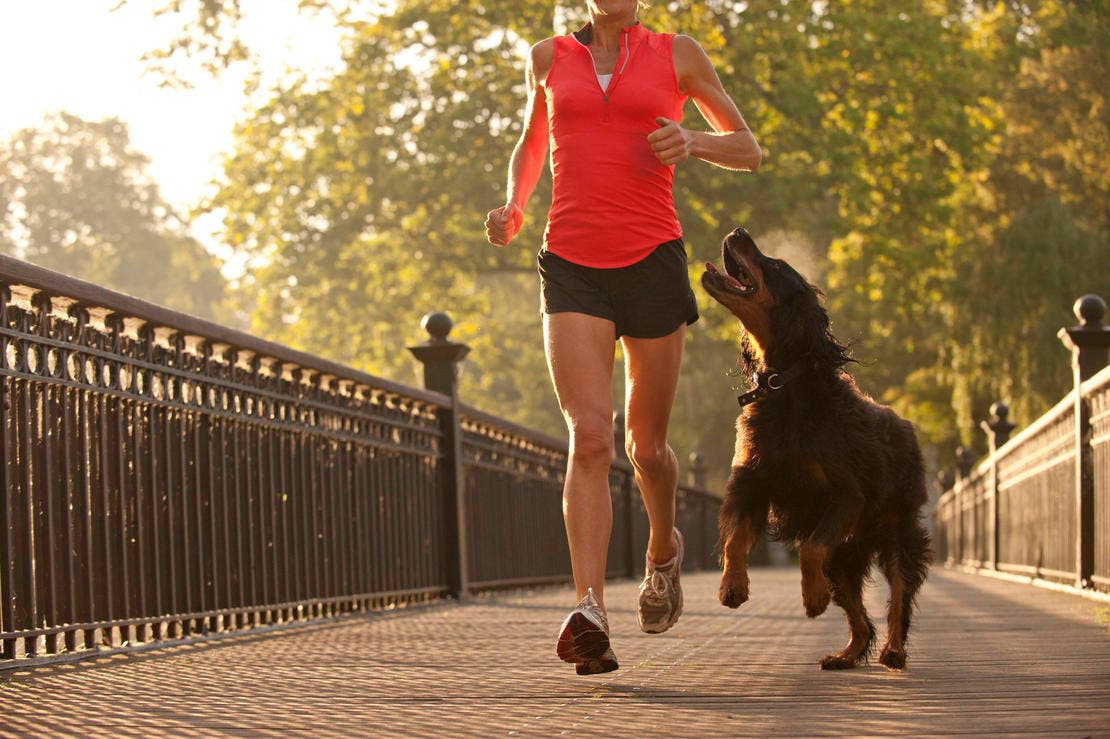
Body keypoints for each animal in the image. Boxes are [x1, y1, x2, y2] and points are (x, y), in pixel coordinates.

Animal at [701, 226, 927, 665]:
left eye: (774, 266)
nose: (738, 231)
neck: (785, 385)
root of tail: (906, 424)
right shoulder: (753, 484)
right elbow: (736, 539)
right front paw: (732, 587)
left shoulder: (845, 495)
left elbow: (810, 548)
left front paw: (813, 598)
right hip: (847, 555)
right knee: (860, 615)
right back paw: (846, 654)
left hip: (896, 532)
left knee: (899, 594)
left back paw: (892, 650)